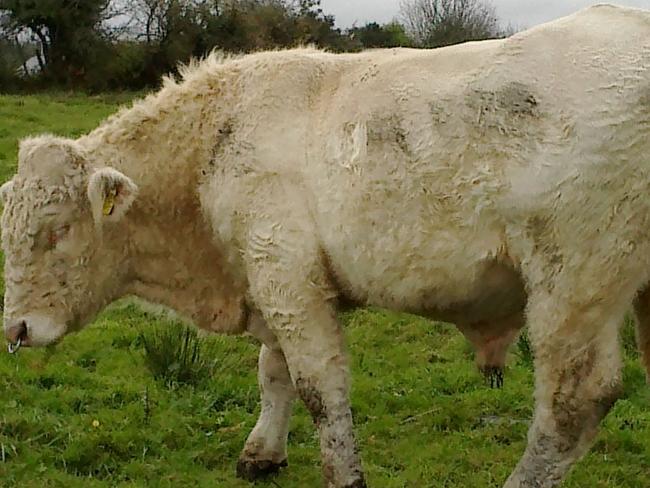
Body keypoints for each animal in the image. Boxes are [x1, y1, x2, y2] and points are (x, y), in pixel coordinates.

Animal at [1, 4, 648, 488]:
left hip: (575, 281)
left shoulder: (287, 277)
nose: (16, 329)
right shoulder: (271, 278)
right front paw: (262, 452)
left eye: (57, 231)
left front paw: (341, 473)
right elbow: (274, 372)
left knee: (572, 406)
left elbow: (319, 389)